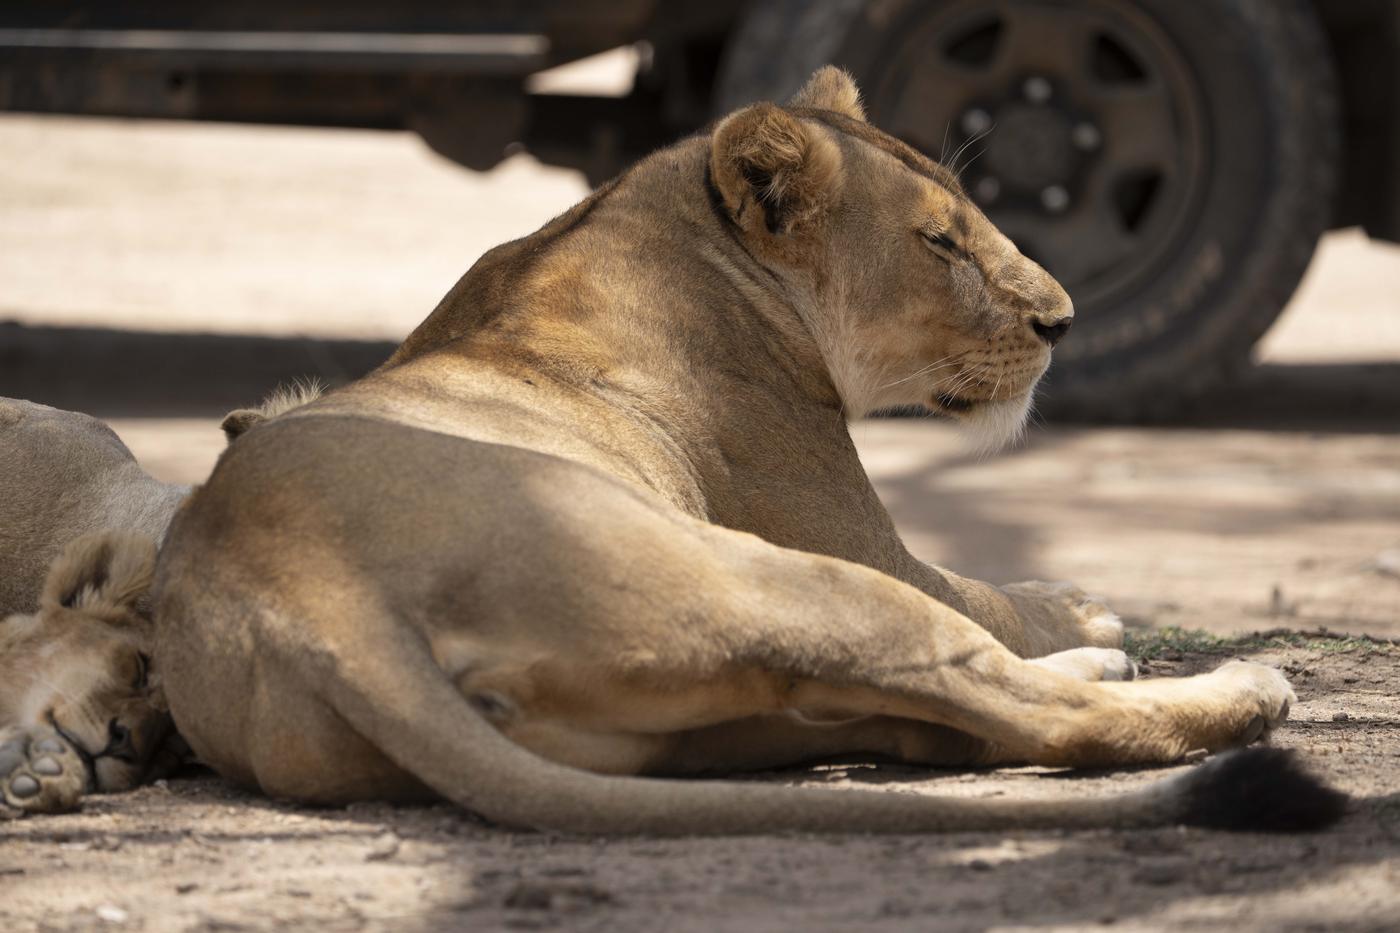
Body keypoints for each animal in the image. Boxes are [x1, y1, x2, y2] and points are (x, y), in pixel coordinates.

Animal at [151, 68, 1345, 834]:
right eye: (940, 241)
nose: (1061, 322)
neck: (649, 217)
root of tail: (311, 598)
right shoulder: (857, 537)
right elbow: (991, 599)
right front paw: (1083, 606)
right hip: (784, 580)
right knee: (1030, 713)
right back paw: (1230, 686)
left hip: (690, 730)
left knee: (938, 724)